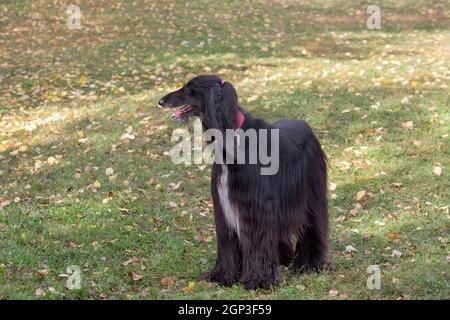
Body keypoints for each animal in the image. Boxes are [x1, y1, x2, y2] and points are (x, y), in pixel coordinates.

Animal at [160, 75, 328, 290]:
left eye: (190, 88)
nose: (161, 101)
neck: (231, 139)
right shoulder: (225, 206)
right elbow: (228, 243)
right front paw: (223, 277)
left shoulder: (255, 206)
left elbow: (258, 242)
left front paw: (259, 280)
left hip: (310, 192)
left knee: (313, 223)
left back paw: (310, 263)